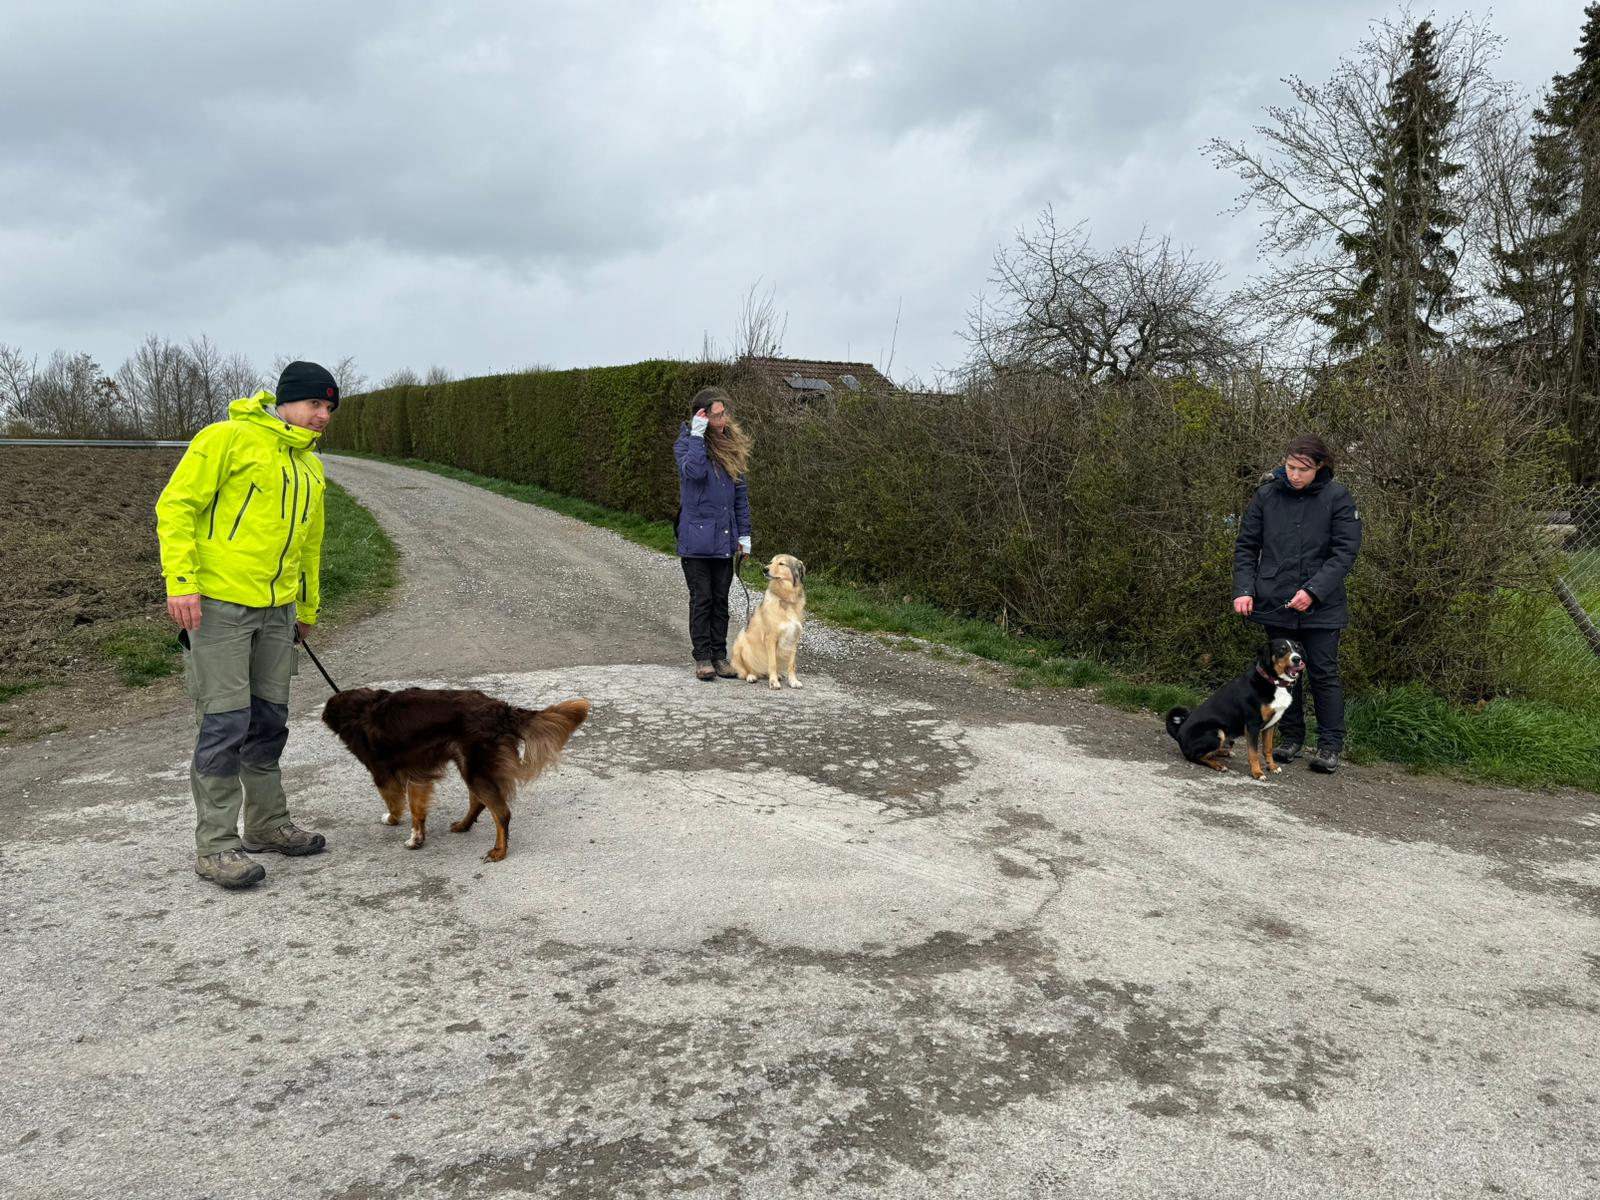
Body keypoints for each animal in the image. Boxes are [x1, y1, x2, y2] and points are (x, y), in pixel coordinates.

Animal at [321, 684, 592, 864]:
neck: (359, 708)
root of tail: (501, 710)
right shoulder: (418, 775)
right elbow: (417, 810)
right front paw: (417, 838)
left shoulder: (384, 776)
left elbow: (395, 804)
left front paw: (392, 820)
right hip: (469, 765)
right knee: (479, 803)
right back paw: (464, 825)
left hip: (475, 768)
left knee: (501, 813)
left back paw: (499, 851)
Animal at [1171, 643, 1305, 784]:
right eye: (1282, 649)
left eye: (1297, 648)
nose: (1297, 659)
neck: (1273, 681)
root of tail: (1179, 734)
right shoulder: (1252, 725)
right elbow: (1253, 753)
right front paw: (1257, 773)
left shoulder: (1271, 725)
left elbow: (1267, 749)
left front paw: (1272, 767)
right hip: (1218, 732)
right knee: (1195, 756)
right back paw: (1218, 765)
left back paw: (1225, 753)